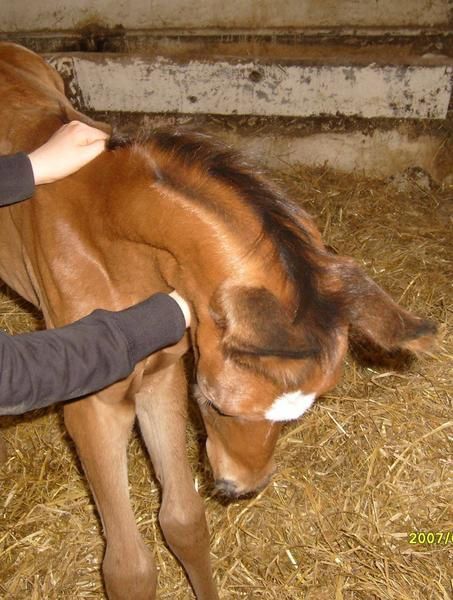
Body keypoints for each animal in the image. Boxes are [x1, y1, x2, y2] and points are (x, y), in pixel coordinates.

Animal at [0, 43, 436, 600]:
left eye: (298, 417)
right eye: (211, 403)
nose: (240, 486)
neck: (107, 232)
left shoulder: (160, 373)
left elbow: (184, 521)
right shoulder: (92, 407)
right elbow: (127, 569)